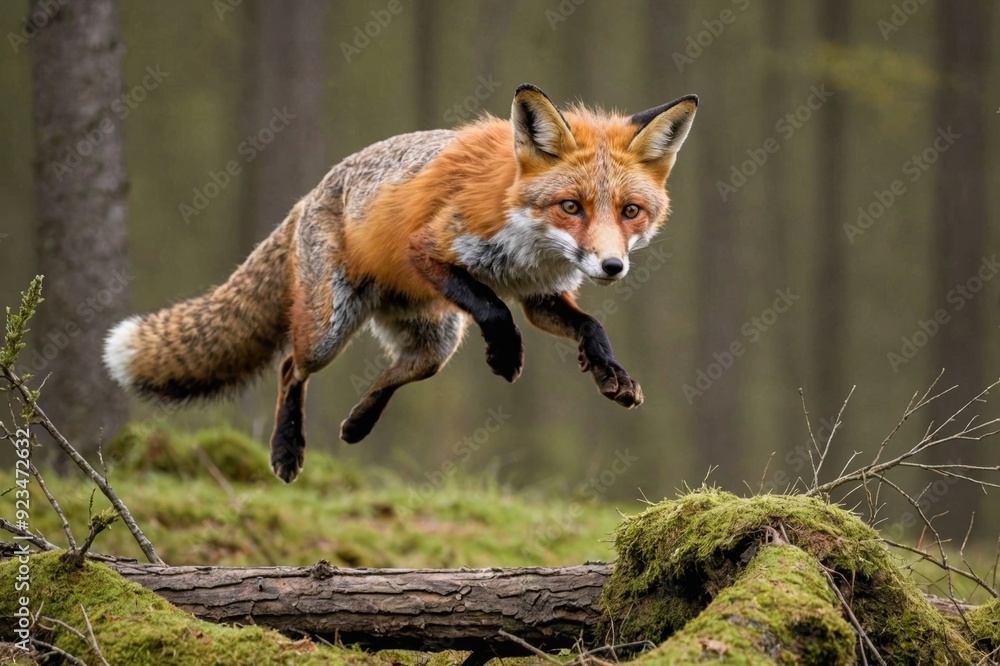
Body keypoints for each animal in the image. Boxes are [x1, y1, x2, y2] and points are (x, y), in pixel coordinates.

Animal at [104, 84, 697, 483]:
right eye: (571, 206)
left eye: (631, 211)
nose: (612, 267)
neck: (527, 249)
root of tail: (308, 196)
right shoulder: (429, 250)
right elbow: (494, 309)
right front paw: (507, 355)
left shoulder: (540, 295)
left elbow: (590, 326)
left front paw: (610, 373)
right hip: (330, 328)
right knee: (290, 366)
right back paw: (287, 449)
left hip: (436, 340)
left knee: (400, 371)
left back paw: (358, 424)